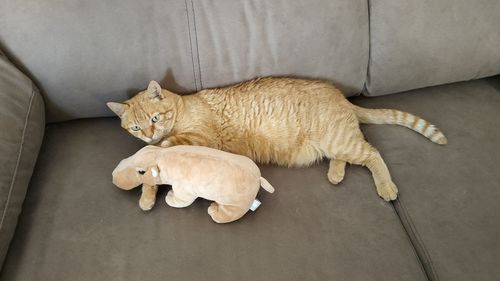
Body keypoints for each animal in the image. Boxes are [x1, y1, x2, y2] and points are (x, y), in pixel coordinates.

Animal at [108, 76, 446, 208]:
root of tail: (343, 98)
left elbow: (165, 149)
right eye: (136, 127)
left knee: (372, 153)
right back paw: (335, 173)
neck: (181, 107)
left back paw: (386, 186)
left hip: (341, 140)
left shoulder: (199, 138)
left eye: (155, 118)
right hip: (336, 144)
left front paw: (153, 157)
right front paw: (147, 193)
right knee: (348, 157)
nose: (148, 134)